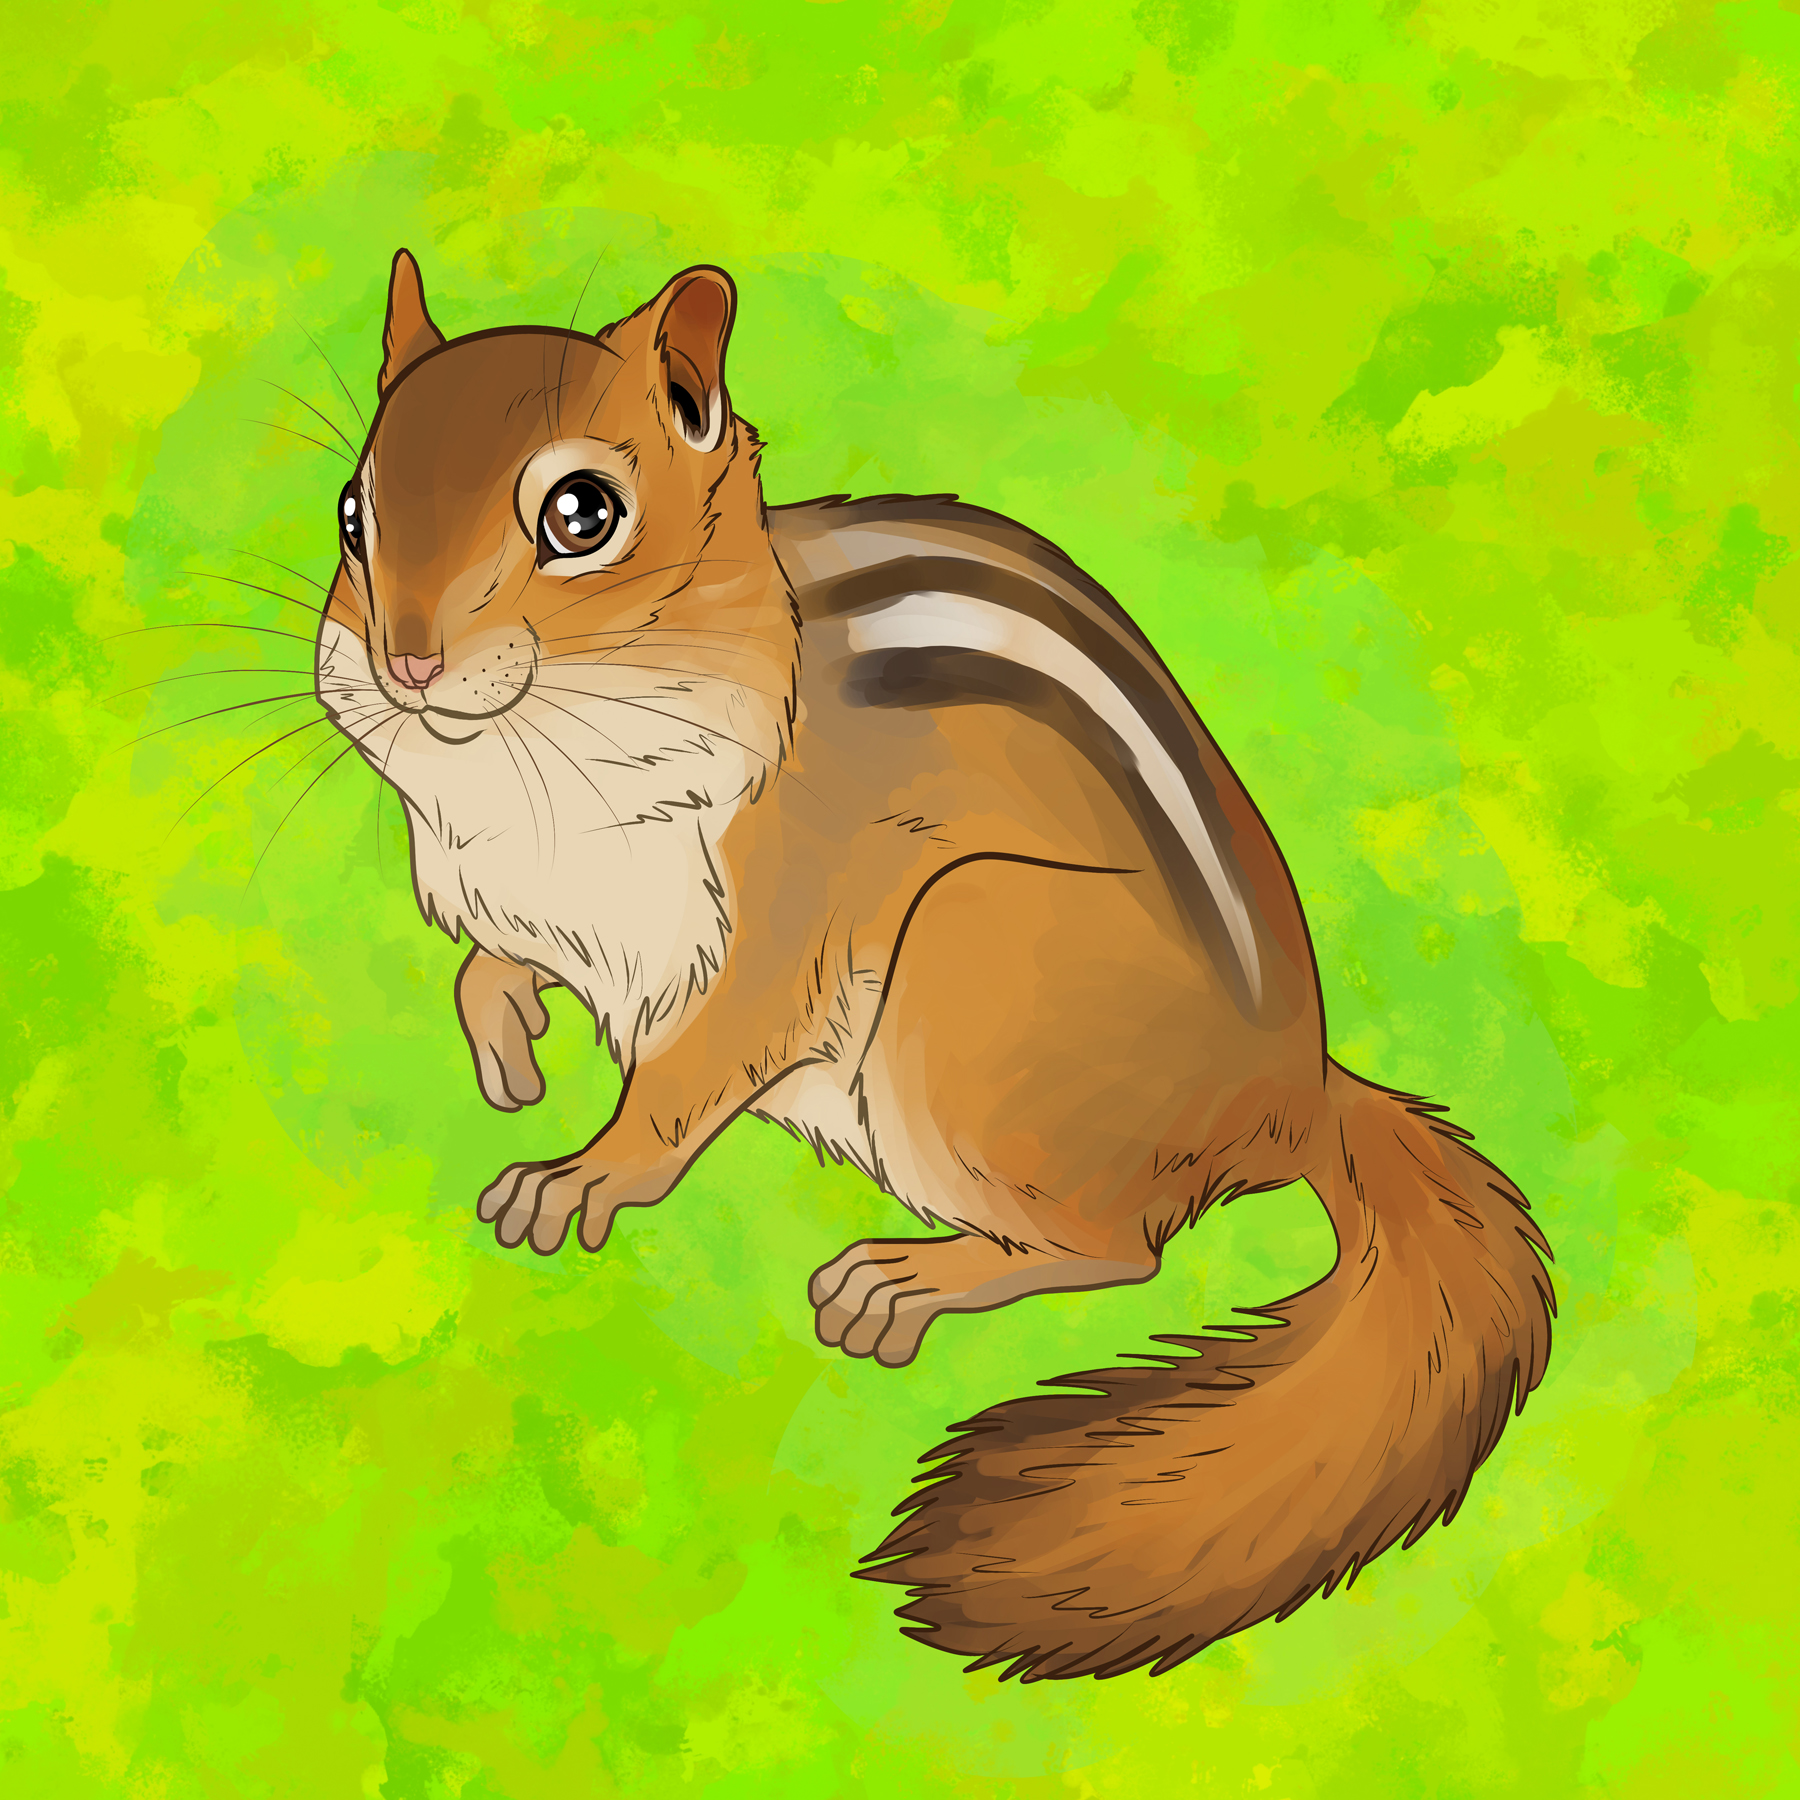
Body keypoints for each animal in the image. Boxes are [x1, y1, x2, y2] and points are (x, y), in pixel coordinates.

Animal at [313, 249, 1556, 1682]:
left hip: (973, 977)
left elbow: (684, 1085)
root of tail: (1299, 1096)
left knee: (1118, 1253)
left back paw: (908, 1276)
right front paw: (506, 1038)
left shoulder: (778, 926)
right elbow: (488, 961)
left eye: (583, 514)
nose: (406, 662)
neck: (529, 778)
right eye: (351, 514)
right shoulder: (533, 903)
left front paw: (578, 1178)